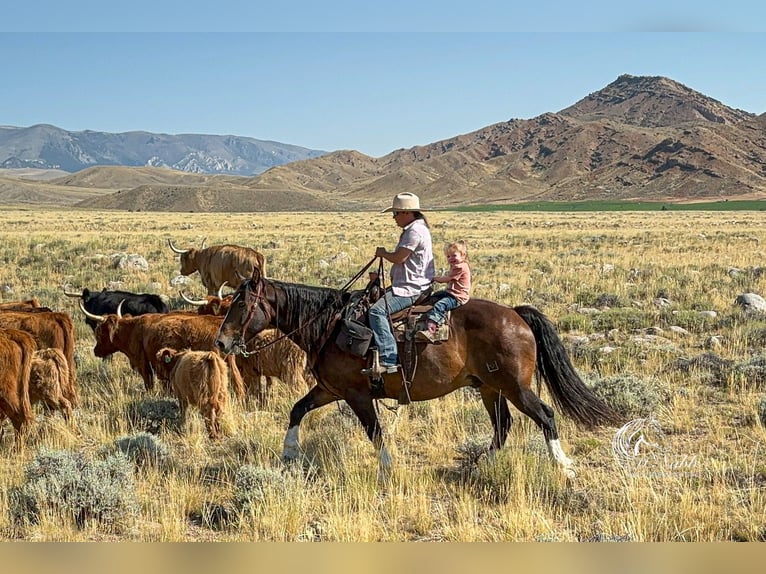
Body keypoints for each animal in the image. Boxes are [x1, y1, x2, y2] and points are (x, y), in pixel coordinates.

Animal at [80, 306, 246, 400]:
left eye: (99, 332)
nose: (95, 350)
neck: (133, 329)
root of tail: (217, 321)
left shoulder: (144, 364)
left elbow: (149, 384)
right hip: (230, 365)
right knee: (238, 385)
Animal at [213, 272, 620, 480]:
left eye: (241, 304)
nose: (221, 341)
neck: (329, 326)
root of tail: (516, 314)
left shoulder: (357, 395)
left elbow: (375, 433)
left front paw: (387, 470)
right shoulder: (330, 389)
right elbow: (297, 409)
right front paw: (288, 453)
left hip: (514, 387)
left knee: (544, 415)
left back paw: (563, 465)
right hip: (490, 388)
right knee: (503, 425)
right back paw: (482, 465)